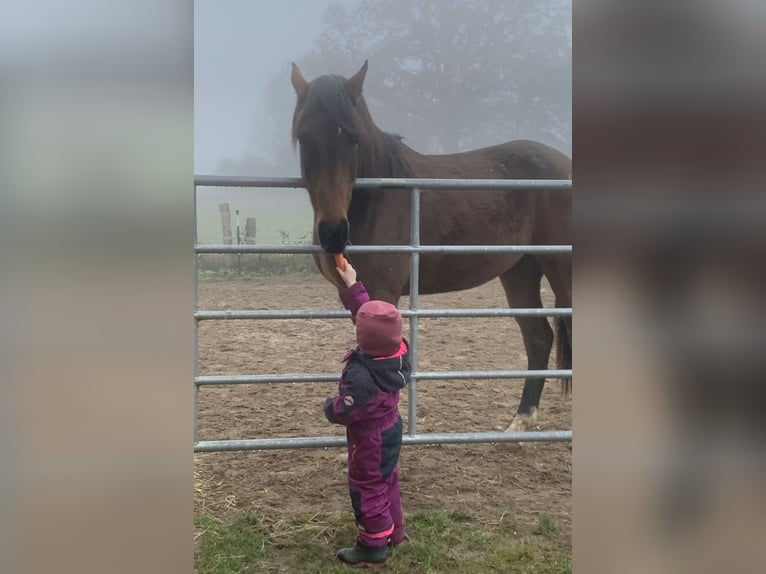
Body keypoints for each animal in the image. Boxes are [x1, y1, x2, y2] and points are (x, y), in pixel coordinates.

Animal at [290, 61, 571, 432]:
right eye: (303, 138)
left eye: (353, 138)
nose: (333, 232)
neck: (376, 198)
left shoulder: (383, 291)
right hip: (520, 271)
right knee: (538, 338)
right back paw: (521, 420)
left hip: (560, 267)